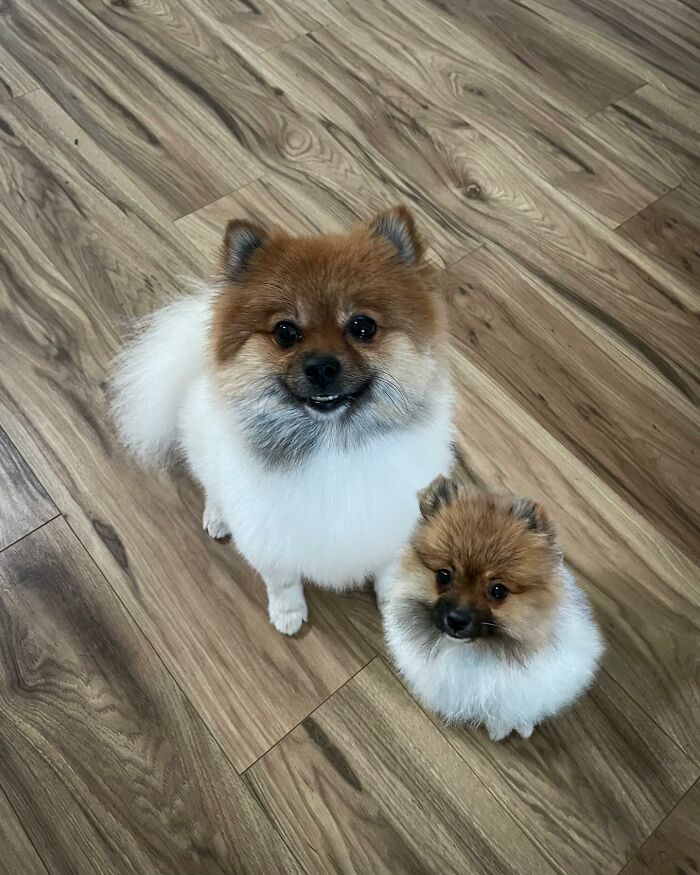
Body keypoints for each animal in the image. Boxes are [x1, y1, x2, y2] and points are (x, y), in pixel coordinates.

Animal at [112, 209, 454, 632]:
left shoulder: (390, 524)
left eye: (363, 327)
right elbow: (283, 580)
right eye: (285, 332)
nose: (321, 367)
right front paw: (288, 612)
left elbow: (387, 572)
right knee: (212, 485)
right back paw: (217, 516)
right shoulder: (268, 535)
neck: (333, 443)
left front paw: (392, 605)